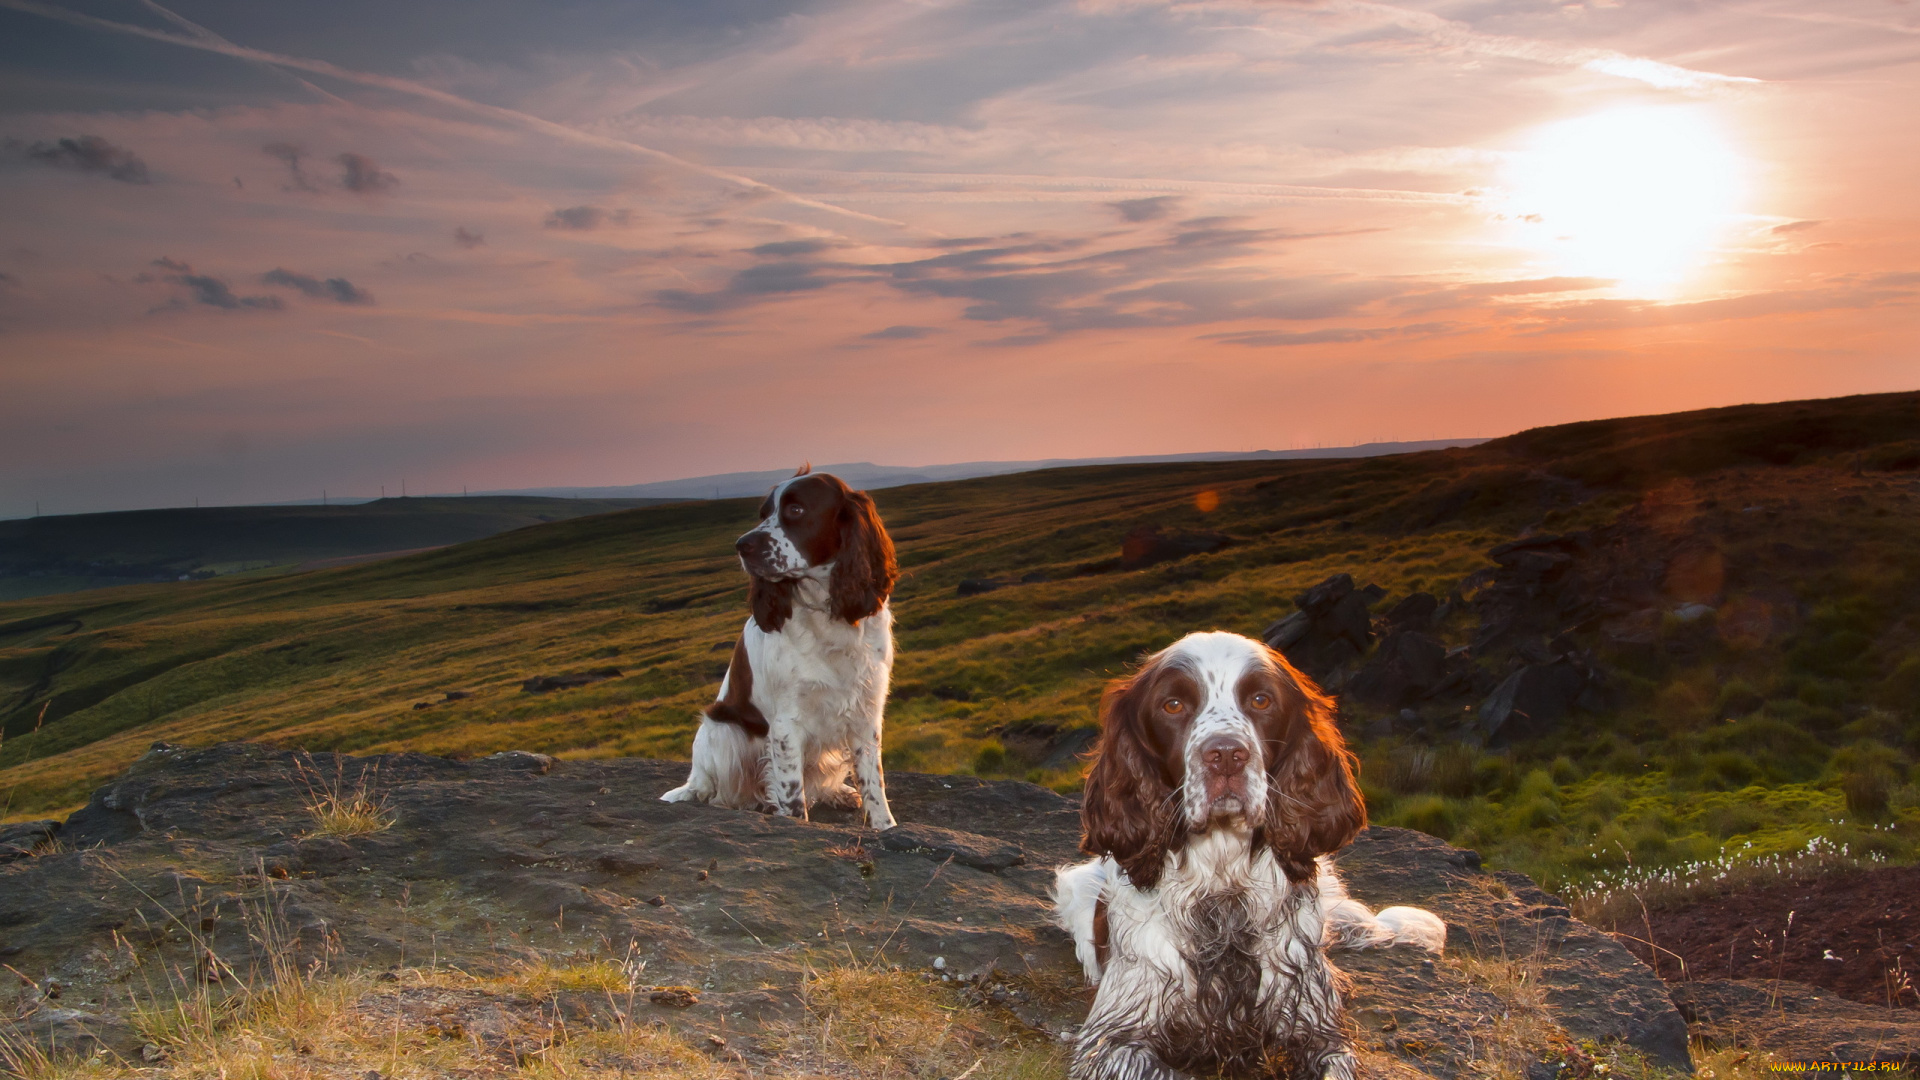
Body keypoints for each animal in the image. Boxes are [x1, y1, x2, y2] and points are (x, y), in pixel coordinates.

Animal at [660, 463, 898, 822]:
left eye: (796, 510)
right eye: (763, 513)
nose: (741, 545)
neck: (825, 613)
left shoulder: (866, 712)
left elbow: (874, 784)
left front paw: (885, 827)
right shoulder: (786, 722)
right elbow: (793, 796)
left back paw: (839, 793)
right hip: (725, 733)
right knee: (720, 793)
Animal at [1052, 626, 1443, 1076]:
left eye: (1260, 700)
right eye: (1173, 705)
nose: (1225, 755)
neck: (1222, 880)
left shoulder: (1319, 1027)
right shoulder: (1112, 1039)